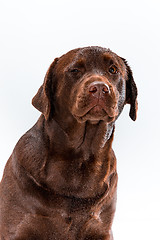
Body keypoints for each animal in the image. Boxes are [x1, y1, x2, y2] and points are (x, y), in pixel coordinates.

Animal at [0, 46, 138, 239]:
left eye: (113, 70)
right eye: (74, 70)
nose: (100, 88)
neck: (80, 157)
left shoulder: (101, 228)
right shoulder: (16, 229)